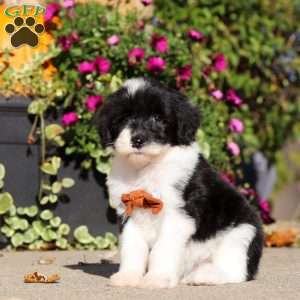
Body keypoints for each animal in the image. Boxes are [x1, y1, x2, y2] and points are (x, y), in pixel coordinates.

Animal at [96, 77, 262, 288]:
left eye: (158, 118)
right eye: (124, 119)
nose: (138, 139)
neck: (147, 167)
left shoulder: (178, 215)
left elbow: (163, 249)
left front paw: (156, 279)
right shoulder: (129, 211)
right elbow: (132, 247)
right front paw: (128, 276)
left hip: (241, 232)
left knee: (236, 269)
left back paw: (204, 275)